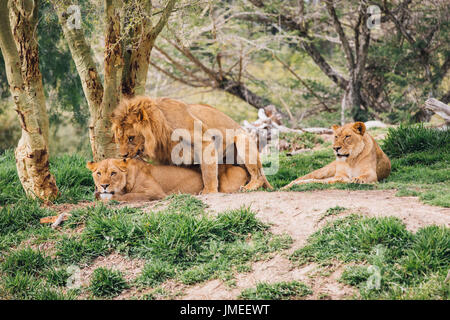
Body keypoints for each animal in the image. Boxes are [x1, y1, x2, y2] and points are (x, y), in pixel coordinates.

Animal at [110, 96, 272, 194]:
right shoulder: (168, 154)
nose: (123, 155)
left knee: (258, 175)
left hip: (242, 139)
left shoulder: (204, 140)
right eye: (119, 139)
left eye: (131, 138)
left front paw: (209, 191)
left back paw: (249, 187)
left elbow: (208, 171)